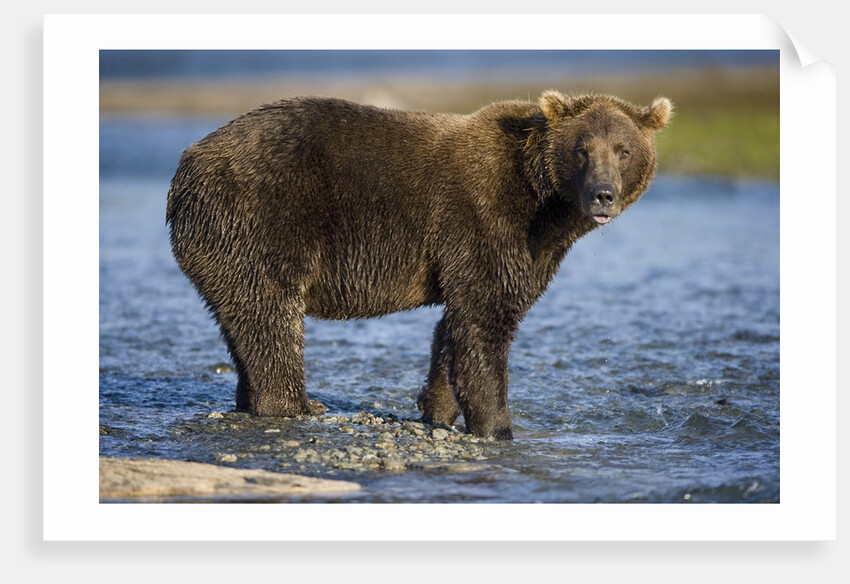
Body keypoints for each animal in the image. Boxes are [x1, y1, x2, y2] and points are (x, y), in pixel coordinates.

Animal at [166, 90, 672, 440]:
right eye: (582, 149)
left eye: (624, 149)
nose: (603, 194)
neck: (545, 204)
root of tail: (187, 165)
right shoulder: (485, 219)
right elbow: (485, 322)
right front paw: (498, 426)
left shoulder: (524, 249)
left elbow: (455, 328)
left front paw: (437, 408)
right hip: (262, 216)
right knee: (271, 315)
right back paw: (297, 404)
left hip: (224, 243)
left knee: (241, 319)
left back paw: (253, 399)